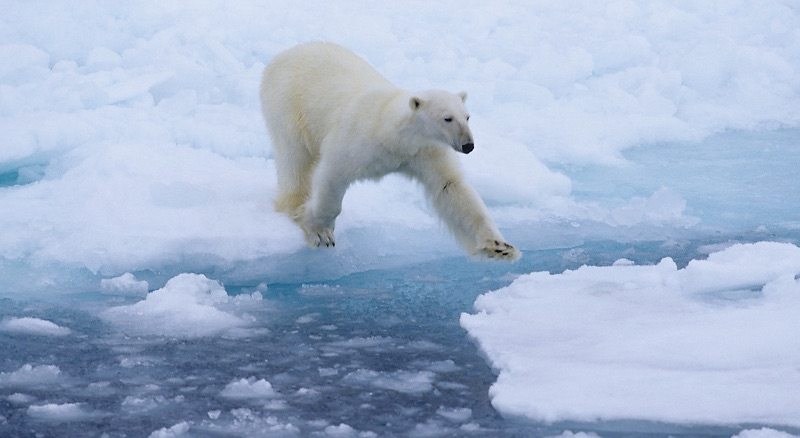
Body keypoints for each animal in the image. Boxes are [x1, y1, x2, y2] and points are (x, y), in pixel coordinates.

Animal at [260, 42, 520, 261]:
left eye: (467, 117)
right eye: (447, 118)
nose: (468, 145)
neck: (394, 135)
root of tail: (284, 54)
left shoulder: (425, 152)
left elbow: (450, 187)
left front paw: (500, 247)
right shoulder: (357, 141)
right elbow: (334, 173)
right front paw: (319, 232)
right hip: (287, 104)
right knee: (295, 158)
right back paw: (293, 205)